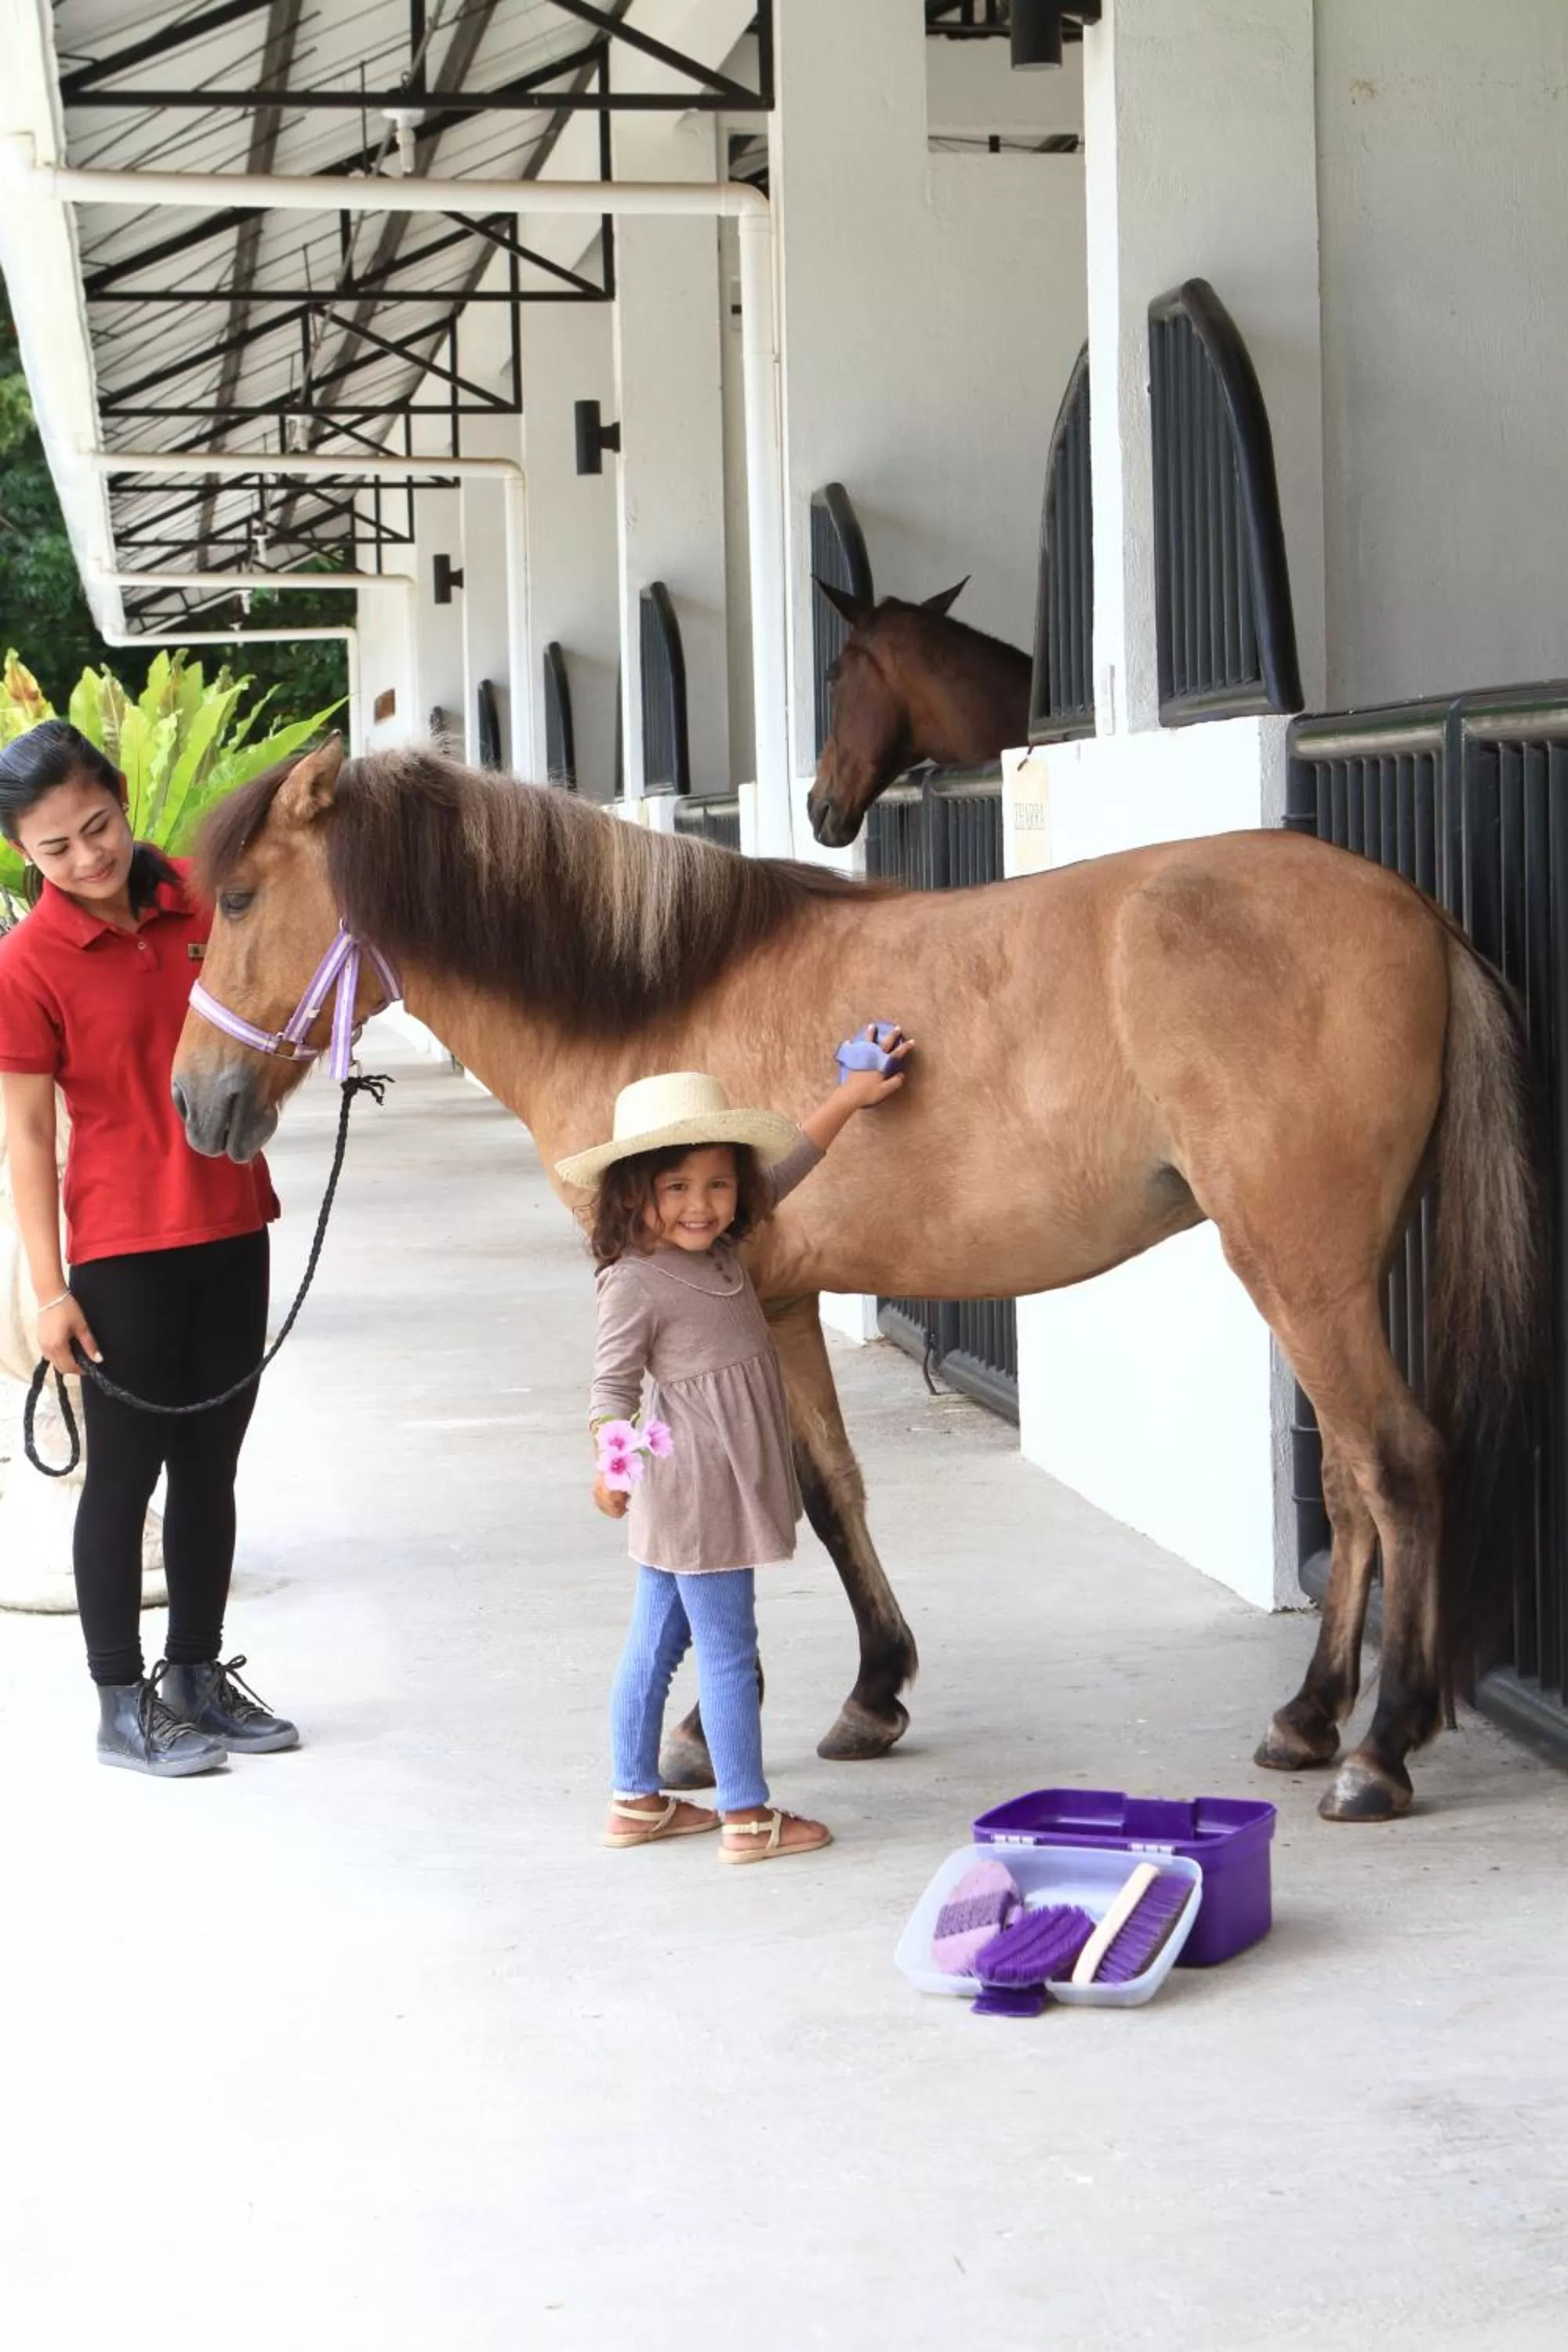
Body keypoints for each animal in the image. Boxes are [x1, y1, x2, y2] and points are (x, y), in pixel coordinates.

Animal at [171, 736, 1543, 1823]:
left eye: (235, 898)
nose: (199, 1103)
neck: (642, 1004)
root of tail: (1413, 914)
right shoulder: (773, 1299)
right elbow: (829, 1494)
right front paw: (872, 1692)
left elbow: (729, 1508)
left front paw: (701, 1731)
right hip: (1319, 1269)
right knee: (1349, 1483)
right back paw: (1309, 1718)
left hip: (1298, 1264)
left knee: (1398, 1465)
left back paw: (1377, 1752)